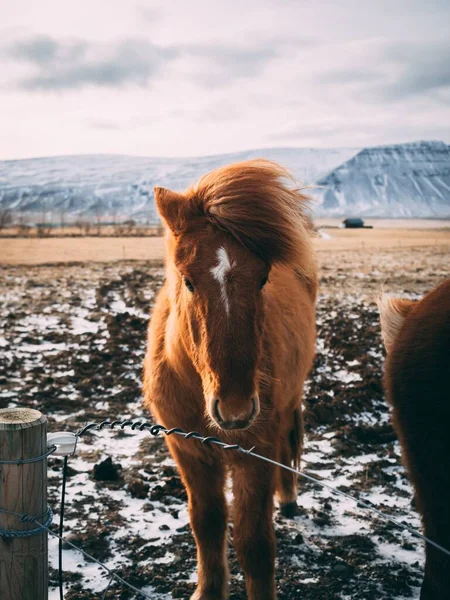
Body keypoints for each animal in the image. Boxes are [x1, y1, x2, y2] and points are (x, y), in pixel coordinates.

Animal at [144, 161, 316, 600]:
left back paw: (289, 498)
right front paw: (208, 590)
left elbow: (254, 543)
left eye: (263, 279)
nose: (236, 409)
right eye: (188, 281)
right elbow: (207, 524)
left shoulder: (255, 454)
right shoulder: (187, 450)